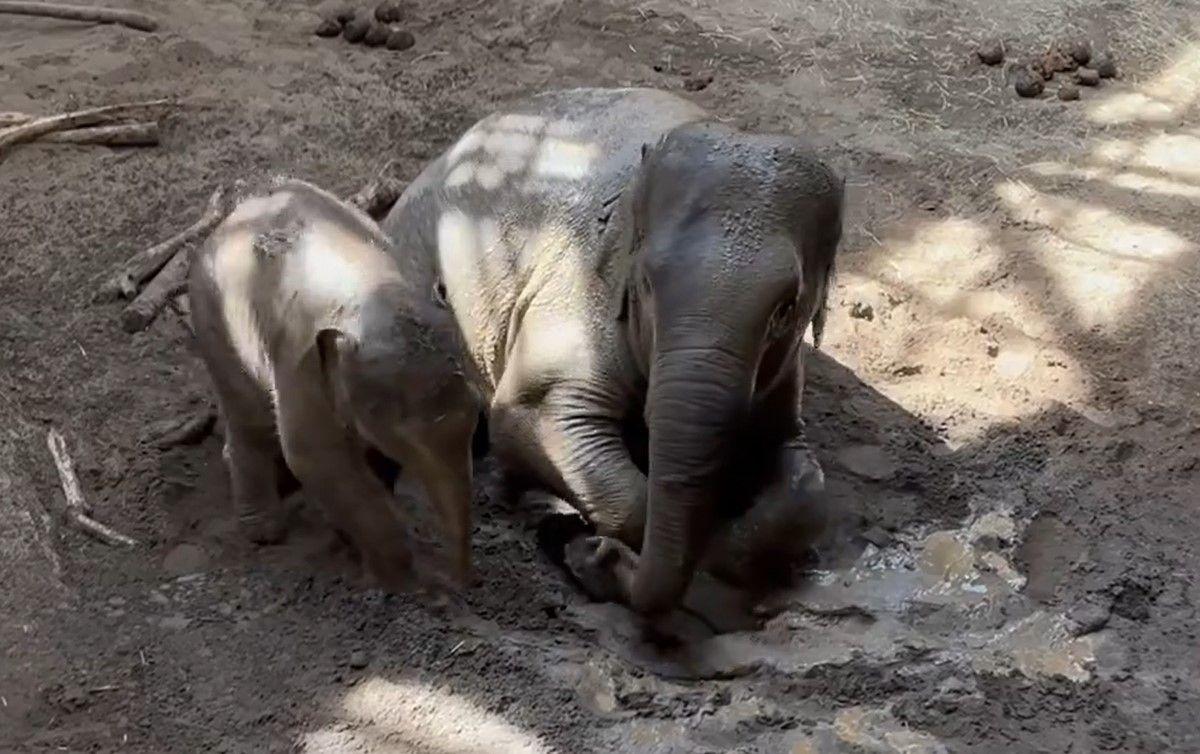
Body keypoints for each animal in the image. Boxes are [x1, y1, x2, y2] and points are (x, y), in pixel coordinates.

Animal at [189, 176, 480, 588]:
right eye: (404, 437)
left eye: (477, 414)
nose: (467, 583)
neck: (374, 293)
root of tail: (233, 212)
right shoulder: (299, 364)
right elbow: (315, 456)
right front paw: (401, 583)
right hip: (214, 321)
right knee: (249, 419)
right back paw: (264, 532)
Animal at [376, 87, 844, 619]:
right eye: (645, 282)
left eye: (787, 306)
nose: (595, 555)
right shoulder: (576, 295)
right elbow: (530, 416)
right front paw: (577, 538)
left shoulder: (786, 371)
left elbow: (806, 494)